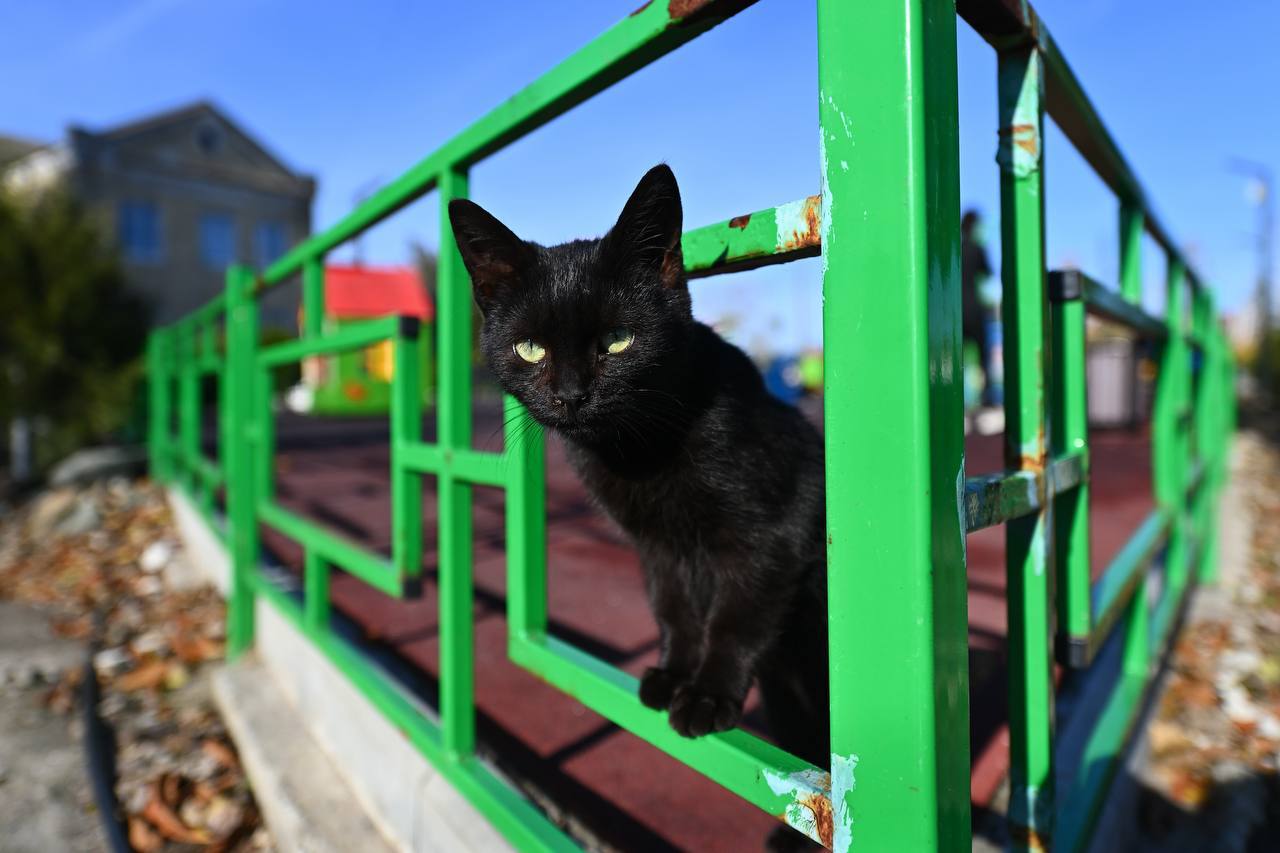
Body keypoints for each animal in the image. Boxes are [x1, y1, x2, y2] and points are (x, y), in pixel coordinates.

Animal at [448, 165, 830, 831]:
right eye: (530, 349)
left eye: (619, 340)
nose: (571, 396)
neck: (637, 453)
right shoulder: (657, 547)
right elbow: (673, 608)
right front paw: (673, 674)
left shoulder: (774, 533)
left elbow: (735, 617)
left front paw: (705, 693)